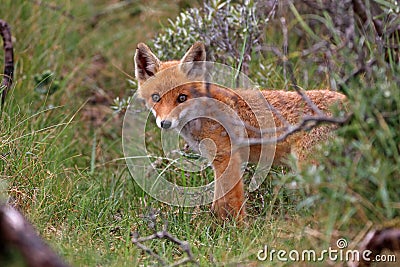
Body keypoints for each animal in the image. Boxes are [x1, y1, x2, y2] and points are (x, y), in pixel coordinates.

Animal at [134, 41, 346, 222]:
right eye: (156, 98)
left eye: (182, 98)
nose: (165, 123)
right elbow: (218, 202)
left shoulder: (227, 158)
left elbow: (232, 202)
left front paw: (237, 230)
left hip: (308, 167)